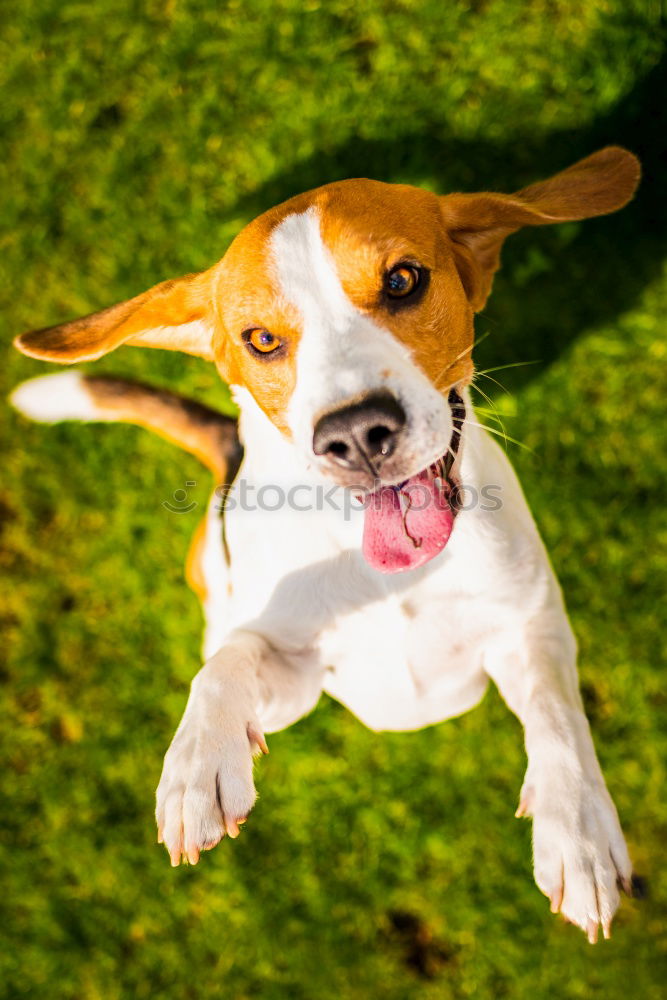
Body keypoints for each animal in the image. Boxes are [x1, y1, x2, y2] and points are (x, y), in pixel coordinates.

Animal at [9, 145, 640, 940]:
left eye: (402, 280)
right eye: (261, 340)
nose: (356, 434)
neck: (384, 571)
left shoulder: (530, 629)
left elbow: (558, 718)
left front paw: (578, 835)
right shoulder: (296, 684)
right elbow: (228, 665)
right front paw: (197, 762)